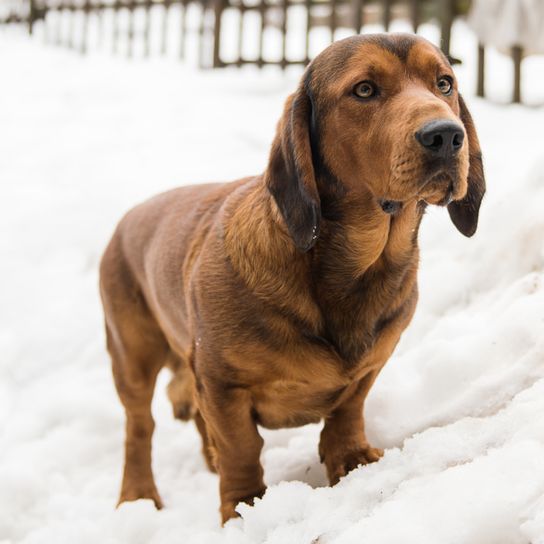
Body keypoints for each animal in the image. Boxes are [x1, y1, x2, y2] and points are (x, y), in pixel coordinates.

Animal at [100, 33, 486, 524]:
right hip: (132, 356)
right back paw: (137, 497)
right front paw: (243, 508)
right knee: (139, 428)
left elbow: (348, 412)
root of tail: (130, 216)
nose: (446, 135)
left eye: (444, 83)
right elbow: (241, 448)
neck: (356, 266)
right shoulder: (222, 385)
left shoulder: (370, 367)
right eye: (364, 90)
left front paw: (351, 460)